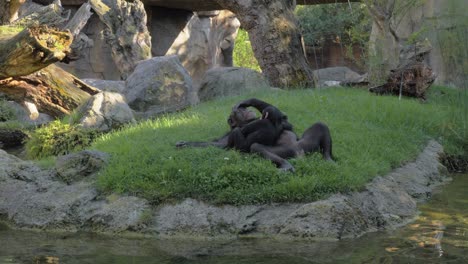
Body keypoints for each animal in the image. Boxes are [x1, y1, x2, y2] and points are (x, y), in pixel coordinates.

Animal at [176, 98, 332, 172]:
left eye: (244, 109)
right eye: (240, 112)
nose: (246, 110)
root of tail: (300, 154)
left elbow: (286, 122)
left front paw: (248, 101)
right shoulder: (231, 132)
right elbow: (221, 144)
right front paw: (185, 144)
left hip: (306, 145)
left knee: (320, 125)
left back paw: (328, 159)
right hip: (287, 151)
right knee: (257, 147)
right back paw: (286, 165)